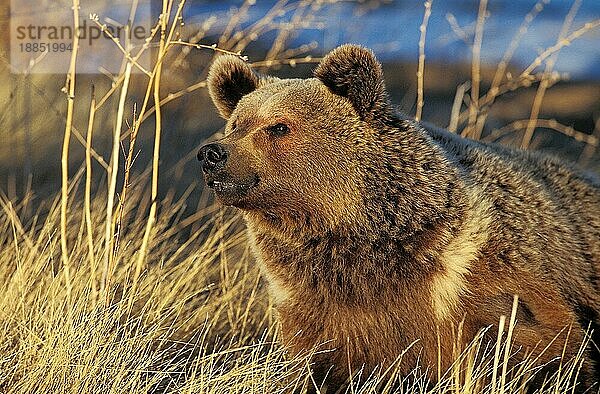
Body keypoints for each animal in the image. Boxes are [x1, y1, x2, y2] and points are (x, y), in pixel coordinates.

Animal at [199, 45, 600, 390]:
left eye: (278, 126)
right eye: (236, 124)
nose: (211, 153)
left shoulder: (484, 286)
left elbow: (540, 349)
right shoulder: (314, 305)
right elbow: (318, 362)